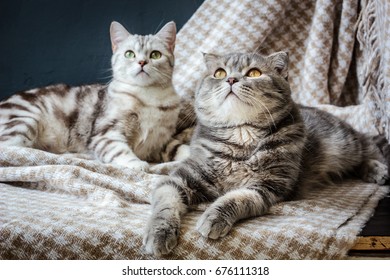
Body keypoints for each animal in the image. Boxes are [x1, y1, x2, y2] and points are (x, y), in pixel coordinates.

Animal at [0, 21, 180, 171]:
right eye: (129, 54)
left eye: (155, 55)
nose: (142, 62)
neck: (148, 97)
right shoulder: (105, 133)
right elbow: (119, 150)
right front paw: (137, 163)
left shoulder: (163, 138)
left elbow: (178, 147)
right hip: (26, 122)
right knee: (11, 149)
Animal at [144, 50, 390, 256]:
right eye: (219, 73)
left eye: (254, 73)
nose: (231, 79)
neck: (241, 137)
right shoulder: (181, 178)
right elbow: (164, 205)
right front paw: (159, 234)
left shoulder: (267, 186)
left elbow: (235, 199)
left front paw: (213, 217)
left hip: (344, 143)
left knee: (369, 146)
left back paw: (378, 170)